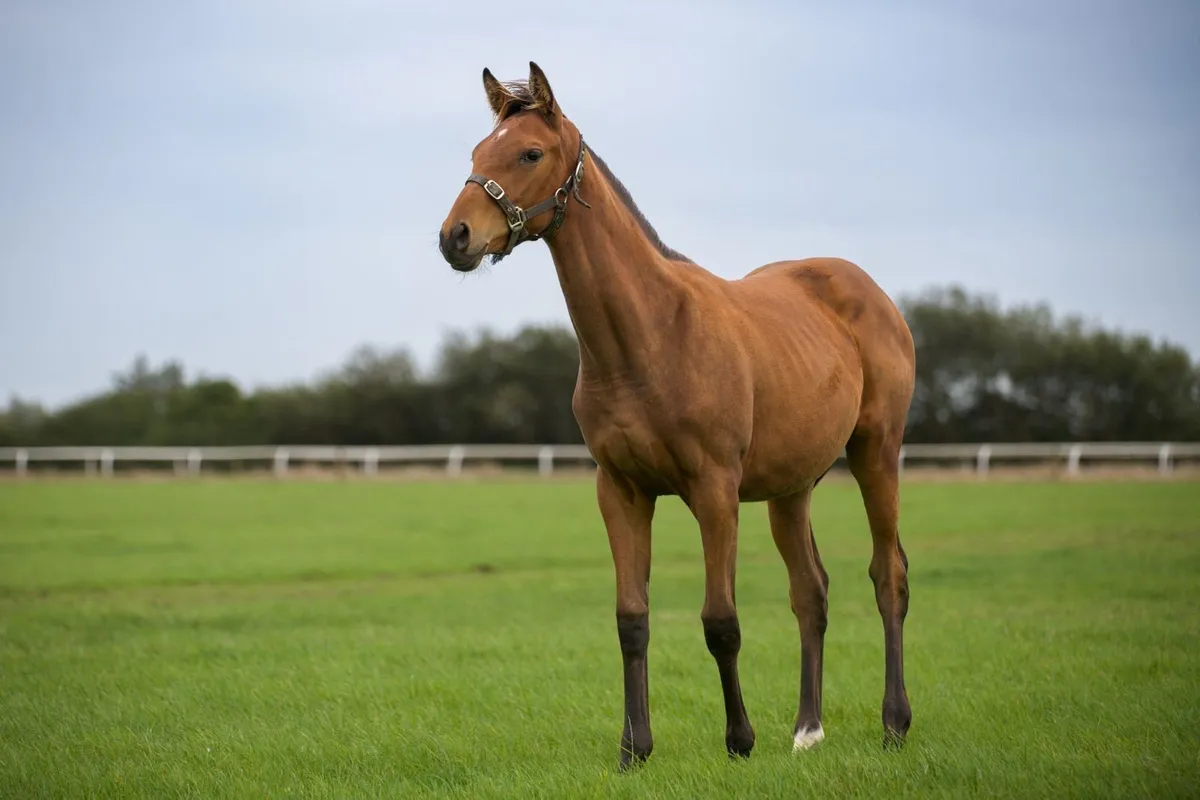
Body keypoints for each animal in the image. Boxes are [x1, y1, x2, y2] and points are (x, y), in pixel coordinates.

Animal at [437, 62, 916, 769]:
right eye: (475, 152)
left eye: (529, 153)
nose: (456, 237)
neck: (652, 335)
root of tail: (868, 291)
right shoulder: (622, 492)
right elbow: (631, 619)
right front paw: (634, 748)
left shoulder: (713, 491)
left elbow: (721, 621)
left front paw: (739, 740)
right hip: (791, 488)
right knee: (811, 591)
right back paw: (807, 729)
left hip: (875, 453)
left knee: (889, 577)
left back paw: (893, 723)